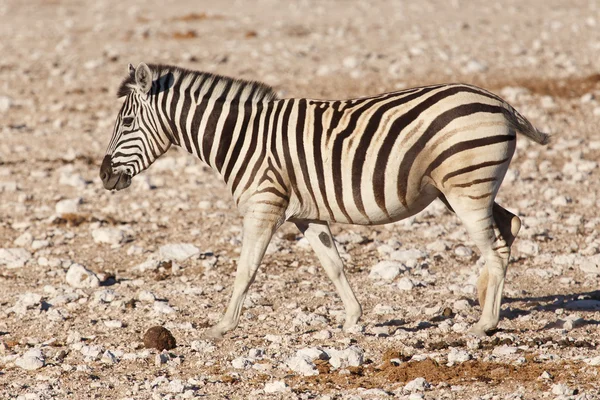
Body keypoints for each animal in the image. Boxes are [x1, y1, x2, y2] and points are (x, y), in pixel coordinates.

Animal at [101, 62, 552, 338]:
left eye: (127, 121)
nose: (103, 175)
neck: (241, 138)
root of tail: (499, 102)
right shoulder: (307, 215)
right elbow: (333, 266)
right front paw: (353, 320)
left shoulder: (265, 206)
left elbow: (245, 270)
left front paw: (223, 325)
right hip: (460, 189)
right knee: (510, 226)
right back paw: (486, 302)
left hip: (466, 188)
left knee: (494, 245)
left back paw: (485, 324)